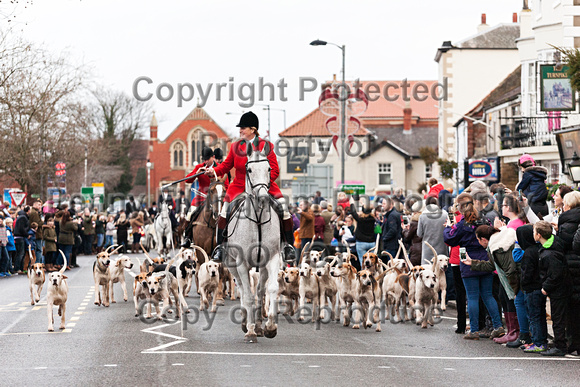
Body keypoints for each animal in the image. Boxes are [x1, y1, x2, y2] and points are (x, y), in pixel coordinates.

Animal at [224, 144, 280, 344]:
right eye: (249, 170)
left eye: (269, 169)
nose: (263, 197)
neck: (257, 220)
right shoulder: (241, 263)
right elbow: (247, 295)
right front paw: (249, 331)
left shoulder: (273, 258)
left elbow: (271, 289)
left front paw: (270, 327)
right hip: (232, 265)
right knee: (242, 287)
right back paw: (245, 322)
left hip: (261, 267)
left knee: (261, 290)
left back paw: (259, 324)